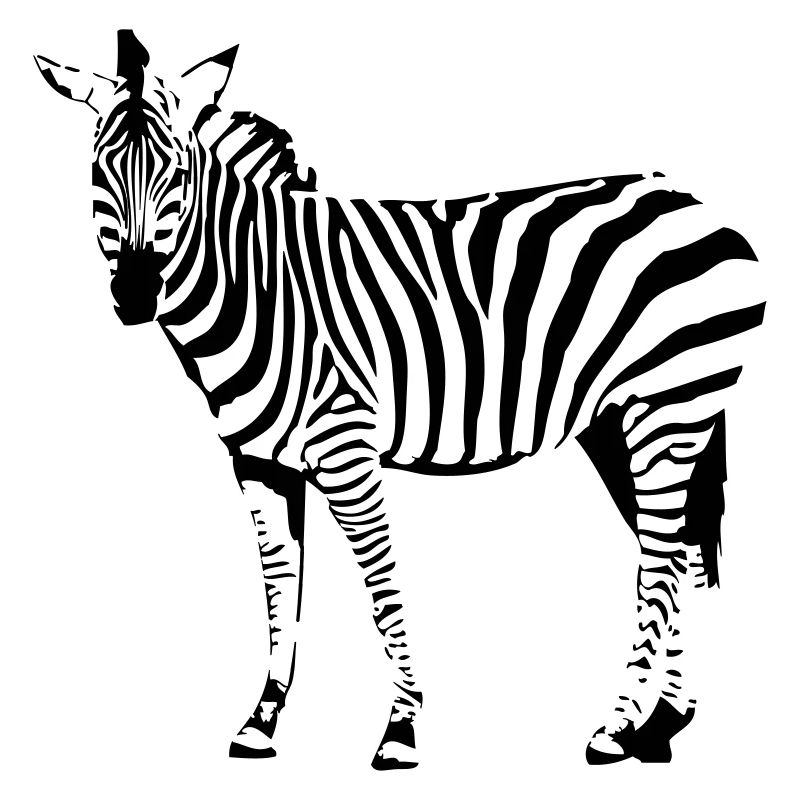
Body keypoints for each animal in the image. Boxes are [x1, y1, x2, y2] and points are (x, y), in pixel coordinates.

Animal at [35, 30, 765, 769]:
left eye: (177, 173)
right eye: (99, 170)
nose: (134, 295)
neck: (259, 286)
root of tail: (690, 197)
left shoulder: (345, 448)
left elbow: (382, 587)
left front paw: (401, 727)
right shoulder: (258, 461)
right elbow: (281, 587)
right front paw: (263, 720)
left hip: (670, 407)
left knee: (662, 562)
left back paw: (617, 726)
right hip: (620, 422)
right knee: (676, 550)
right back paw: (661, 720)